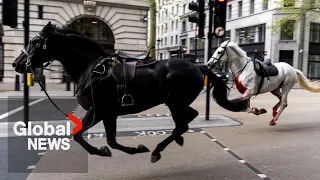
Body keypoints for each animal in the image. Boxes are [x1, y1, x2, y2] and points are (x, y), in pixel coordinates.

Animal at [12, 22, 249, 163]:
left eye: (35, 41)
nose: (17, 64)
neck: (91, 68)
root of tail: (198, 67)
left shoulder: (97, 111)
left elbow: (78, 135)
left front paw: (101, 151)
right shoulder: (108, 113)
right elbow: (111, 141)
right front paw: (130, 149)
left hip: (174, 101)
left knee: (186, 120)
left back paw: (158, 149)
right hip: (175, 102)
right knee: (185, 121)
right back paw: (174, 140)